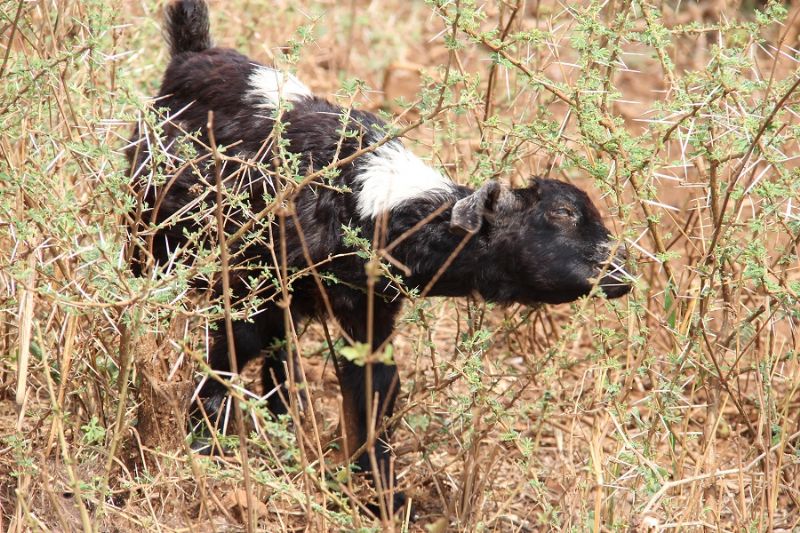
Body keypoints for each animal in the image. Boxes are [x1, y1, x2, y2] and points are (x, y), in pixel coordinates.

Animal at [127, 0, 632, 514]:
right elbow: (230, 355)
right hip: (149, 231)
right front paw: (201, 448)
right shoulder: (258, 285)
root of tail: (190, 55)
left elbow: (376, 389)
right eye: (562, 213)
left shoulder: (369, 306)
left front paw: (385, 498)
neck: (371, 206)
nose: (620, 271)